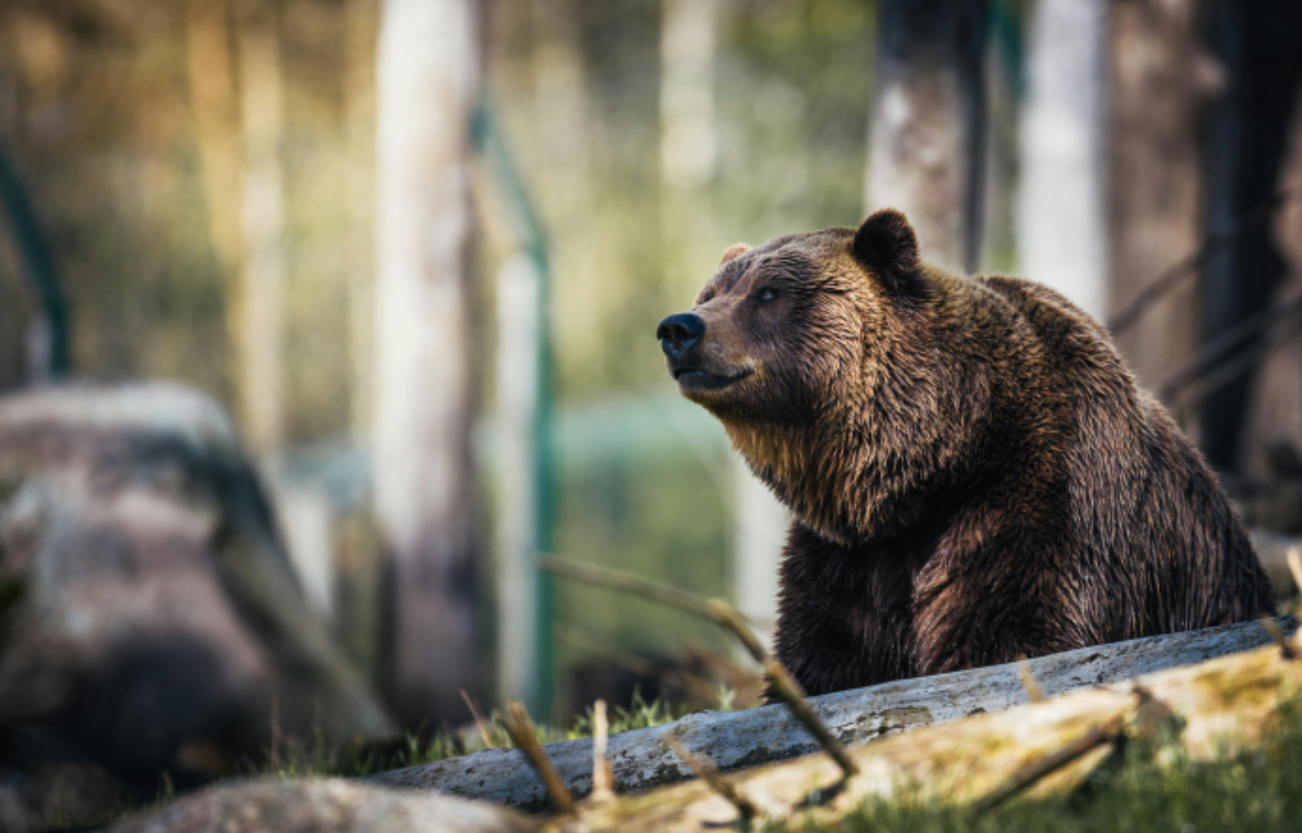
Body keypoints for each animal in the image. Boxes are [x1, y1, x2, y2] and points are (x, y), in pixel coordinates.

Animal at [656, 209, 1274, 697]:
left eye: (768, 293)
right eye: (711, 293)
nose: (679, 327)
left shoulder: (1043, 502)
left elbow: (1013, 634)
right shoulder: (846, 559)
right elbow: (824, 658)